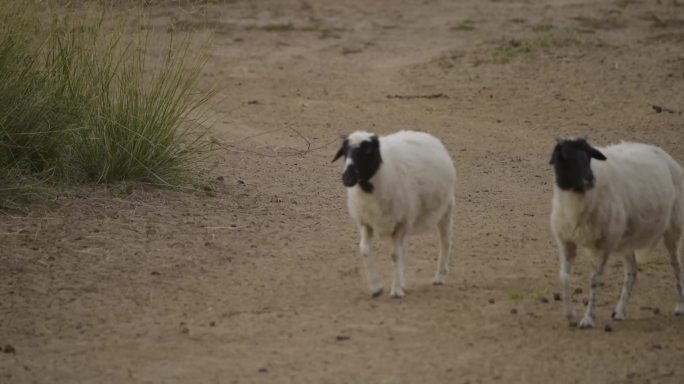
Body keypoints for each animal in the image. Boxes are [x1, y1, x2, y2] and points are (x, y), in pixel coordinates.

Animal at [334, 130, 456, 298]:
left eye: (368, 150)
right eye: (345, 151)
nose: (347, 178)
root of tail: (427, 135)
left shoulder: (400, 223)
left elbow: (395, 255)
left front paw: (396, 290)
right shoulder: (366, 221)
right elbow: (364, 250)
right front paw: (377, 287)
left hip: (445, 208)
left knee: (445, 241)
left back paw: (440, 276)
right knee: (405, 249)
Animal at [552, 136, 684, 328]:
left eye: (589, 157)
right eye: (565, 157)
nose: (589, 180)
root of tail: (665, 156)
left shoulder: (604, 245)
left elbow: (594, 280)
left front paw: (588, 319)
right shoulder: (566, 241)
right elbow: (564, 276)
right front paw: (570, 314)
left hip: (673, 227)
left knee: (676, 265)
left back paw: (680, 306)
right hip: (626, 238)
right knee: (632, 271)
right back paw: (620, 311)